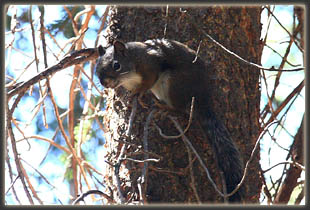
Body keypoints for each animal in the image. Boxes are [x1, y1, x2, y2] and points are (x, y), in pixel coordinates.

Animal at [95, 39, 243, 202]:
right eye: (97, 68)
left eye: (116, 65)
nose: (104, 83)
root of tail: (202, 99)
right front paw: (129, 98)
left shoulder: (150, 65)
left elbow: (148, 81)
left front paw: (139, 93)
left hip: (173, 83)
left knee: (181, 109)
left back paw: (164, 106)